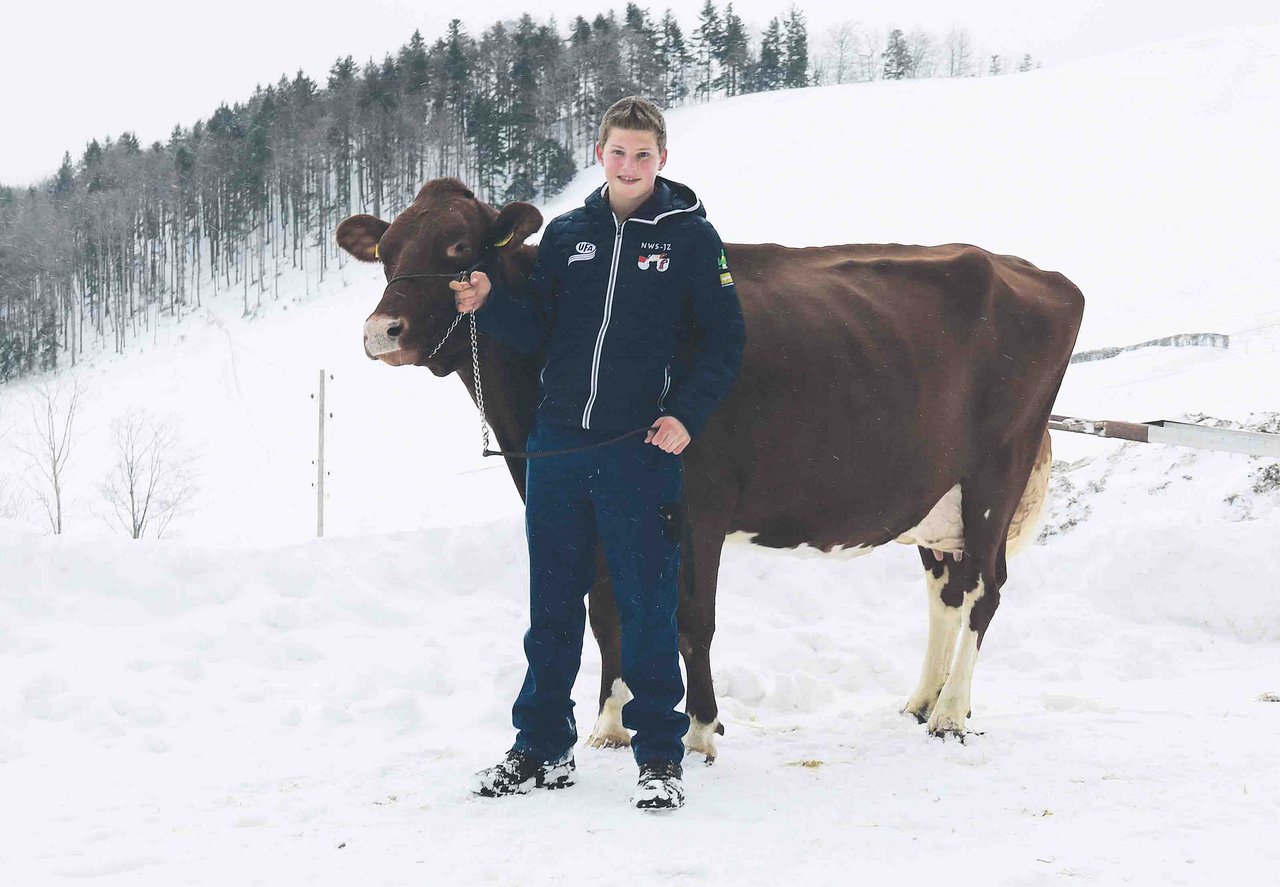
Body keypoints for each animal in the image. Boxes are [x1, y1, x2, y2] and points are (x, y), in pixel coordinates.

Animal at [337, 176, 1080, 757]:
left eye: (459, 247)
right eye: (388, 251)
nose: (381, 332)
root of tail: (1031, 272)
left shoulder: (697, 506)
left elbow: (690, 618)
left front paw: (699, 730)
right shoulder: (590, 501)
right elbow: (607, 611)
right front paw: (611, 725)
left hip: (997, 471)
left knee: (985, 585)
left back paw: (950, 714)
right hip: (936, 496)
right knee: (946, 590)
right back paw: (923, 700)